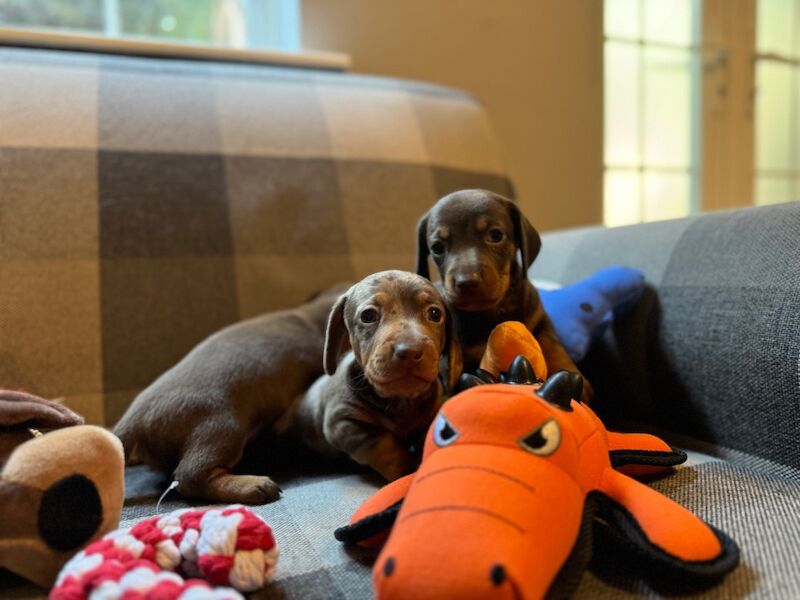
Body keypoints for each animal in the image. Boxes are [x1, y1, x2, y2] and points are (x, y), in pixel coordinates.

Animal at [280, 270, 462, 480]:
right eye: (368, 316)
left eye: (434, 313)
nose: (409, 351)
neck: (401, 402)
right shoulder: (344, 423)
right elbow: (386, 446)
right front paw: (406, 472)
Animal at [416, 190, 592, 400]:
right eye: (437, 248)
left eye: (495, 235)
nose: (466, 282)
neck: (492, 310)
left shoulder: (539, 317)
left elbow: (551, 344)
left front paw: (568, 373)